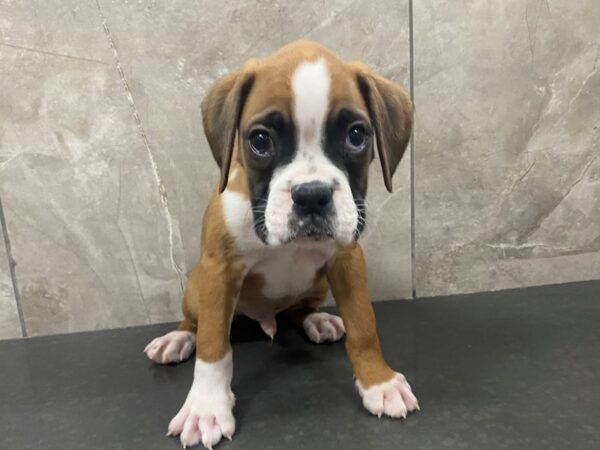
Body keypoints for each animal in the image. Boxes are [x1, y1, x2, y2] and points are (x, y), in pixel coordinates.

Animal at [144, 40, 418, 448]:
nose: (312, 195)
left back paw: (317, 320)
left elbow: (364, 326)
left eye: (357, 135)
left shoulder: (347, 261)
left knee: (298, 309)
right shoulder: (220, 271)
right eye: (260, 140)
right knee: (194, 321)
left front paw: (379, 382)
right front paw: (206, 407)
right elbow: (213, 345)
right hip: (196, 287)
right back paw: (177, 339)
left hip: (318, 282)